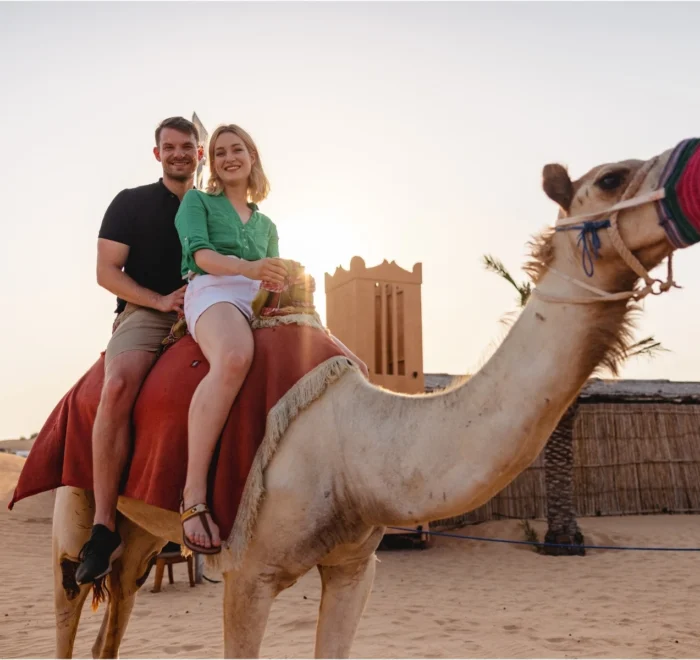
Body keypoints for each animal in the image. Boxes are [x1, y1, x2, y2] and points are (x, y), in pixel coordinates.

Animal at [47, 138, 696, 656]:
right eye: (611, 178)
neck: (355, 446)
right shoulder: (248, 573)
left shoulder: (354, 568)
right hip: (79, 490)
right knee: (71, 597)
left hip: (144, 527)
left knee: (119, 605)